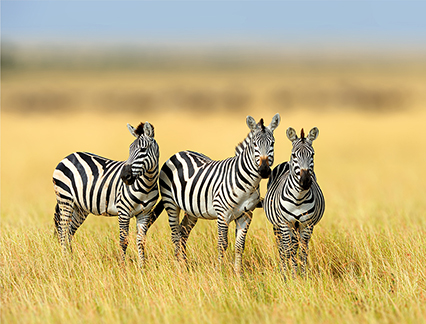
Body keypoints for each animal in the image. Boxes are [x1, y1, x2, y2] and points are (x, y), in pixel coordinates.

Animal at [52, 121, 160, 266]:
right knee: (62, 231)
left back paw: (71, 259)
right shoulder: (124, 211)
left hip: (80, 208)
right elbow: (123, 241)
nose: (124, 176)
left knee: (69, 232)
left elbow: (141, 241)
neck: (147, 185)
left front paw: (142, 267)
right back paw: (65, 261)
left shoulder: (145, 213)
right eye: (130, 150)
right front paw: (122, 267)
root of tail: (68, 156)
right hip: (65, 200)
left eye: (143, 150)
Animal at [158, 114, 282, 274]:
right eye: (254, 144)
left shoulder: (246, 215)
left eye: (272, 143)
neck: (248, 184)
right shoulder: (223, 214)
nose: (265, 170)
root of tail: (180, 152)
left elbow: (239, 246)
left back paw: (183, 265)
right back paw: (178, 267)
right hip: (171, 203)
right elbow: (222, 244)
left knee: (183, 232)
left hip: (191, 210)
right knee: (175, 235)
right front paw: (219, 272)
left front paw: (238, 274)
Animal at [262, 126, 324, 278]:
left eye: (312, 155)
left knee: (296, 246)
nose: (305, 181)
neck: (298, 198)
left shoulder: (306, 225)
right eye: (294, 155)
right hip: (278, 225)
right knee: (282, 247)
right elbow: (287, 250)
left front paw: (302, 275)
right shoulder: (285, 223)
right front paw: (290, 276)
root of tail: (286, 162)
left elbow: (302, 251)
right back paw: (283, 270)